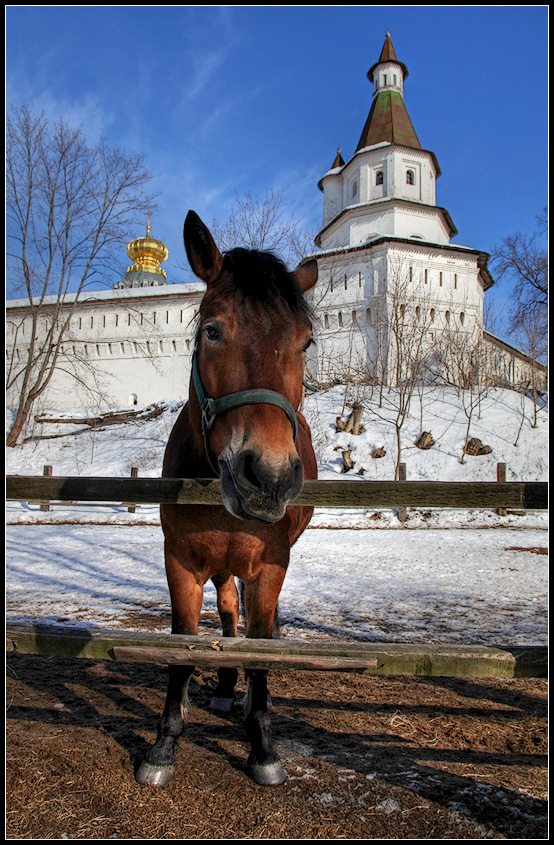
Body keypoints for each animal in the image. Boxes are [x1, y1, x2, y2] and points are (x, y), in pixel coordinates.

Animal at [135, 209, 316, 784]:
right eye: (212, 330)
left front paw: (263, 745)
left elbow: (260, 647)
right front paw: (164, 744)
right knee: (229, 607)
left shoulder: (271, 565)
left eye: (306, 342)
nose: (269, 477)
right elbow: (185, 644)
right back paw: (222, 689)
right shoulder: (181, 562)